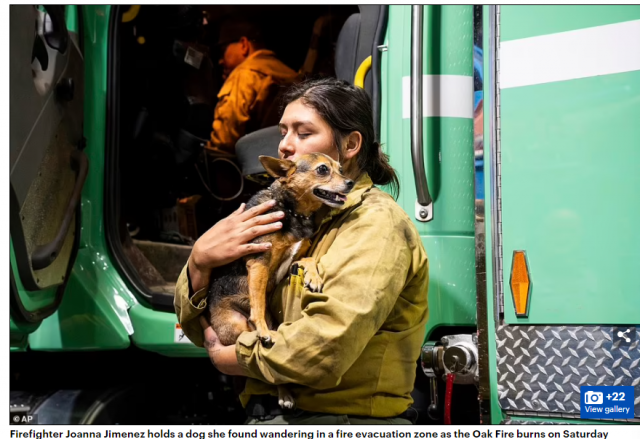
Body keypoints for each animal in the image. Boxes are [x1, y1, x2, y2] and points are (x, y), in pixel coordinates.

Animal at [206, 153, 352, 410]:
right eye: (323, 170)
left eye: (341, 169)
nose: (350, 182)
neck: (293, 212)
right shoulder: (259, 264)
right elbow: (257, 306)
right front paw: (263, 330)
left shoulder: (291, 260)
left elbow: (308, 258)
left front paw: (314, 276)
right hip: (236, 325)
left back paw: (284, 394)